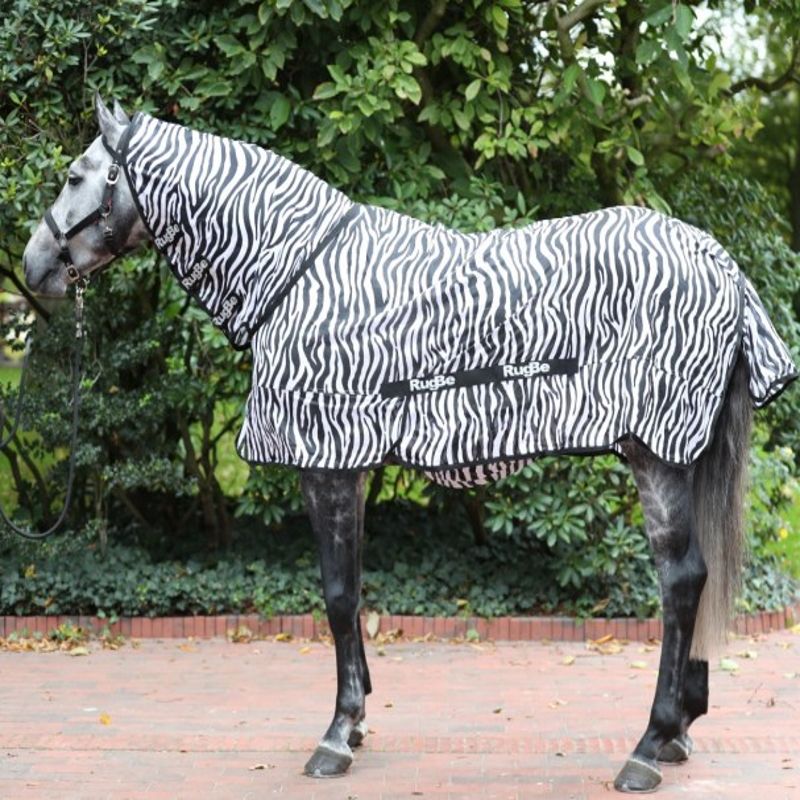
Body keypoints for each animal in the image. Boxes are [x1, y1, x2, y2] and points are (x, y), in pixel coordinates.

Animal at [22, 94, 797, 793]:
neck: (297, 273)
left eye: (74, 175)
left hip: (654, 454)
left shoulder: (326, 464)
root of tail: (716, 260)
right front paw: (359, 719)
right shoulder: (352, 465)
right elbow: (354, 587)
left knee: (680, 580)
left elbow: (337, 596)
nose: (32, 269)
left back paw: (645, 747)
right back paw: (676, 735)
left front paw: (336, 735)